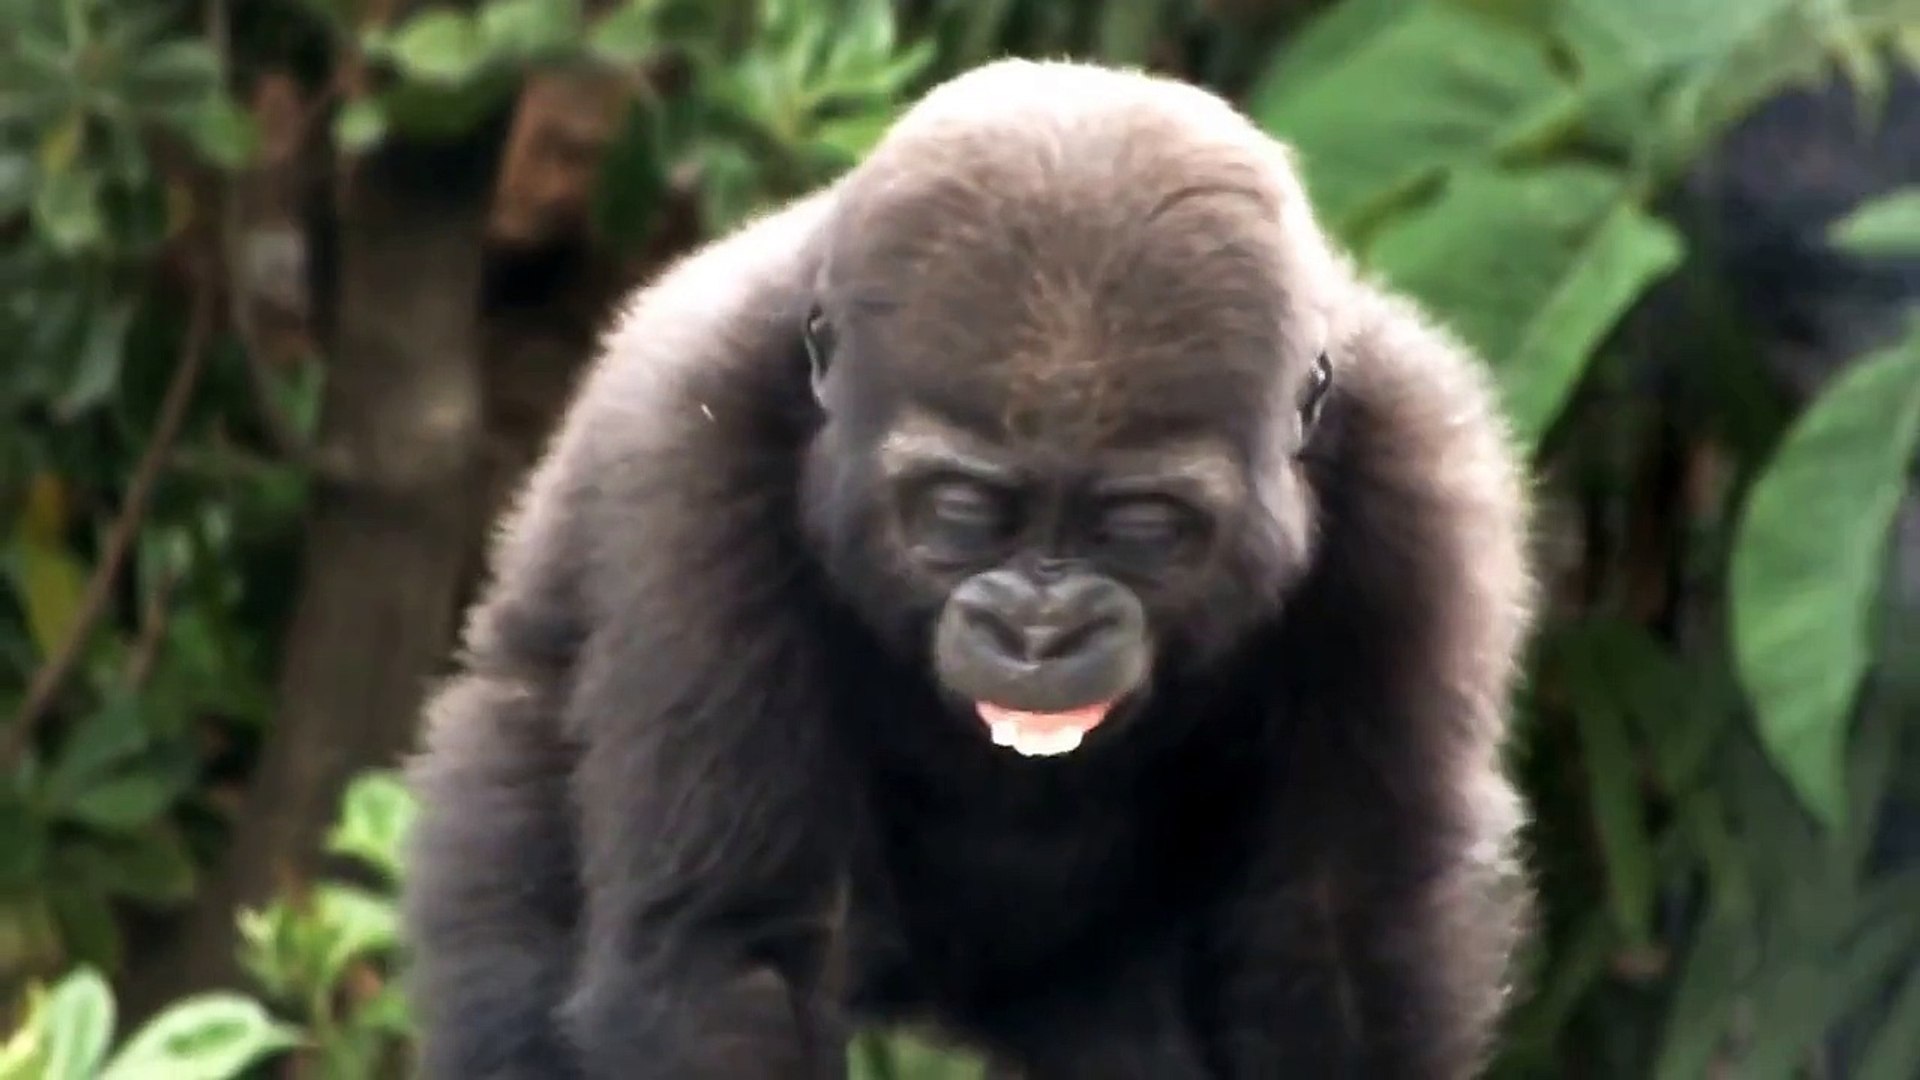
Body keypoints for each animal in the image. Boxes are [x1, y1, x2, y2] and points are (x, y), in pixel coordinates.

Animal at [401, 58, 1538, 1080]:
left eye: (1142, 527)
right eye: (960, 513)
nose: (1043, 627)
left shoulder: (1422, 489)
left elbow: (1339, 944)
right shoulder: (688, 449)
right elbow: (731, 956)